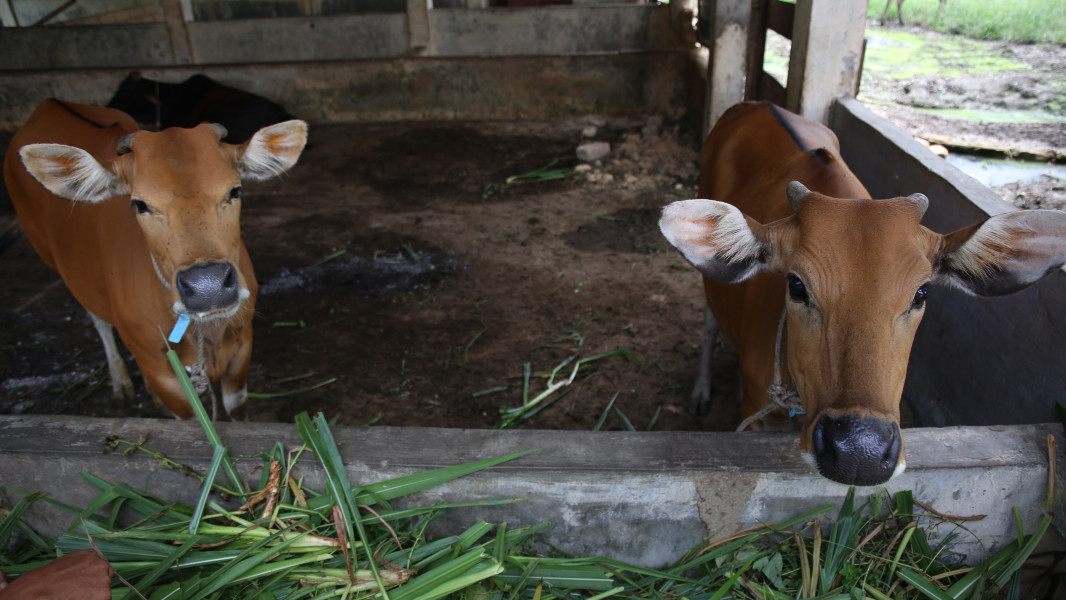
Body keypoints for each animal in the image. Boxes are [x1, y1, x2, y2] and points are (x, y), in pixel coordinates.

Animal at [6, 99, 309, 417]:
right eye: (140, 204)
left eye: (235, 190)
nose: (208, 286)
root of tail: (48, 104)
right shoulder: (157, 366)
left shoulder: (243, 344)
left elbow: (237, 407)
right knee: (98, 319)